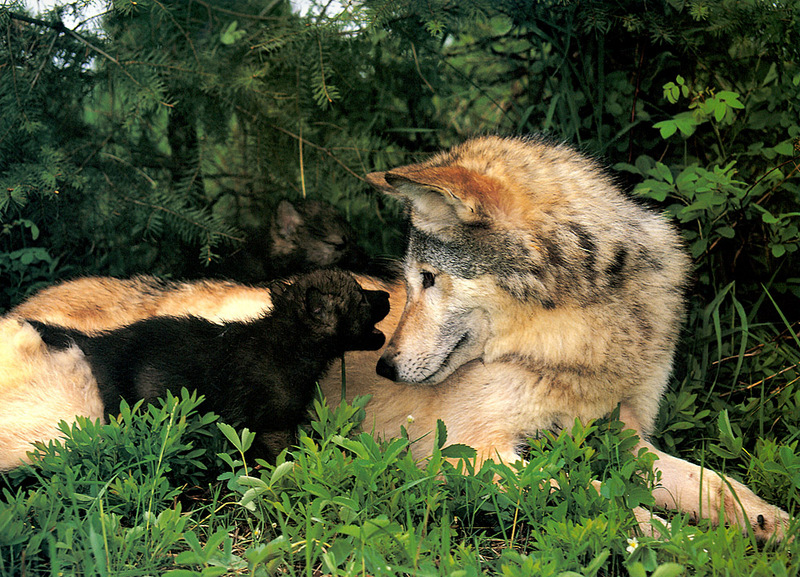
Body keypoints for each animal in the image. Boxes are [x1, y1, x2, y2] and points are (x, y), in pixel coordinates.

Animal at [0, 135, 788, 540]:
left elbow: (715, 482)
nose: (382, 367)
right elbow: (596, 499)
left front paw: (767, 524)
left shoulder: (623, 436)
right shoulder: (474, 455)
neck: (580, 338)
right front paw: (679, 541)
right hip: (73, 425)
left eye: (430, 278)